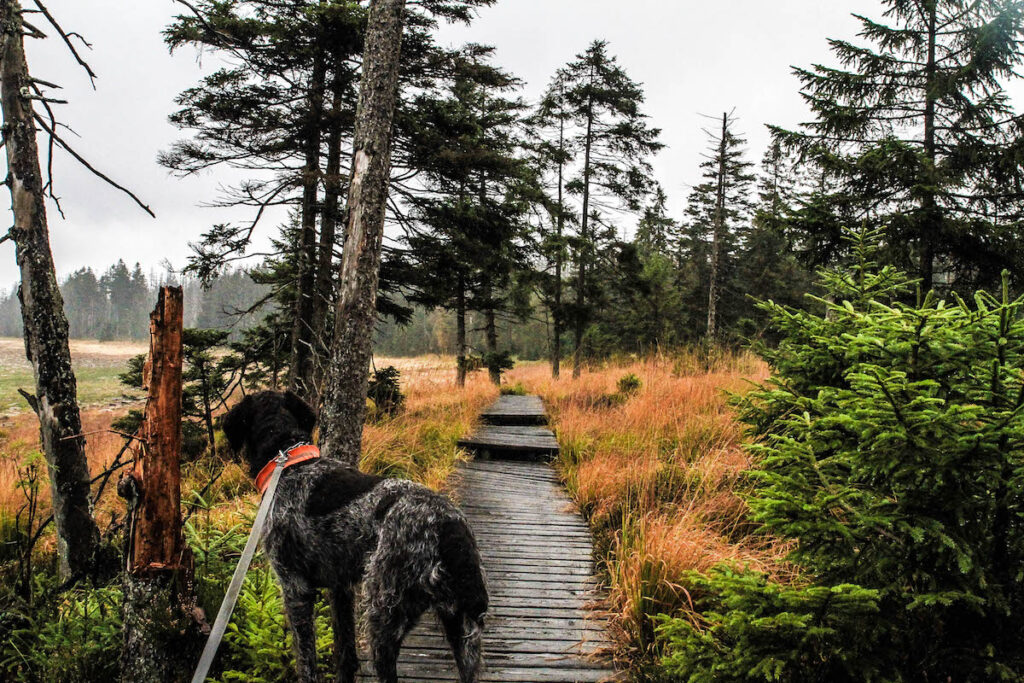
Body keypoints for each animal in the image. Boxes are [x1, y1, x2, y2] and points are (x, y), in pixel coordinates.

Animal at [222, 389, 485, 683]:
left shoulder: (294, 586)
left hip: (383, 612)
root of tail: (448, 525)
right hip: (462, 630)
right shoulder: (341, 588)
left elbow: (306, 661)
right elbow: (345, 654)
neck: (288, 460)